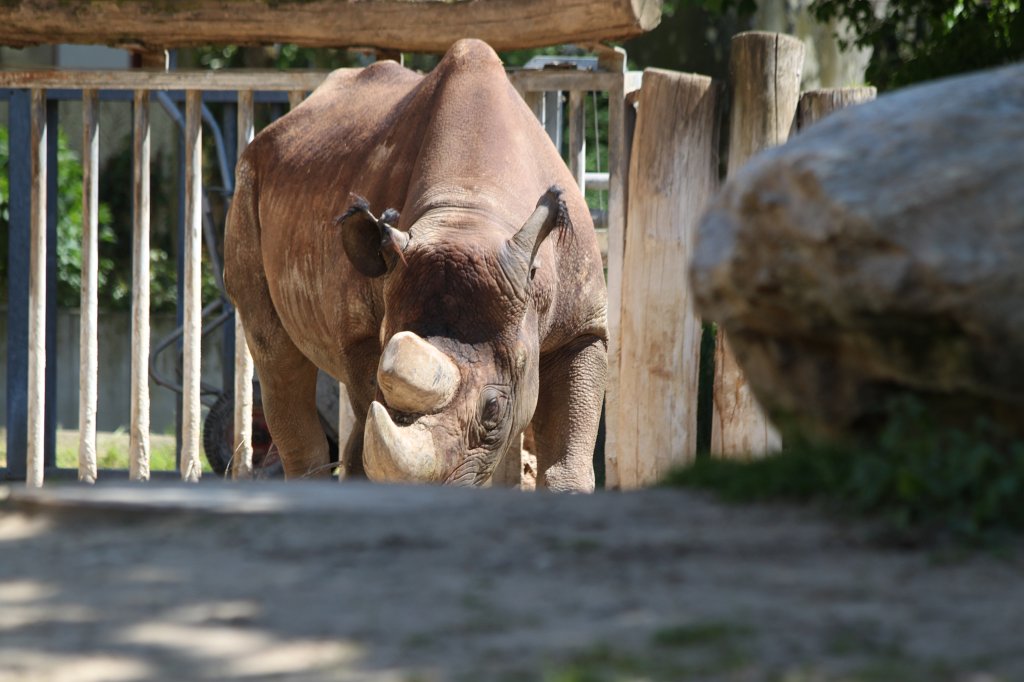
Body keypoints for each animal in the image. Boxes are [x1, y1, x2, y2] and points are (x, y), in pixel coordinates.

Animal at [224, 39, 607, 491]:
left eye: (494, 410)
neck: (470, 210)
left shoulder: (584, 328)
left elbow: (569, 453)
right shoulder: (363, 330)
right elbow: (374, 405)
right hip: (248, 181)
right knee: (274, 350)